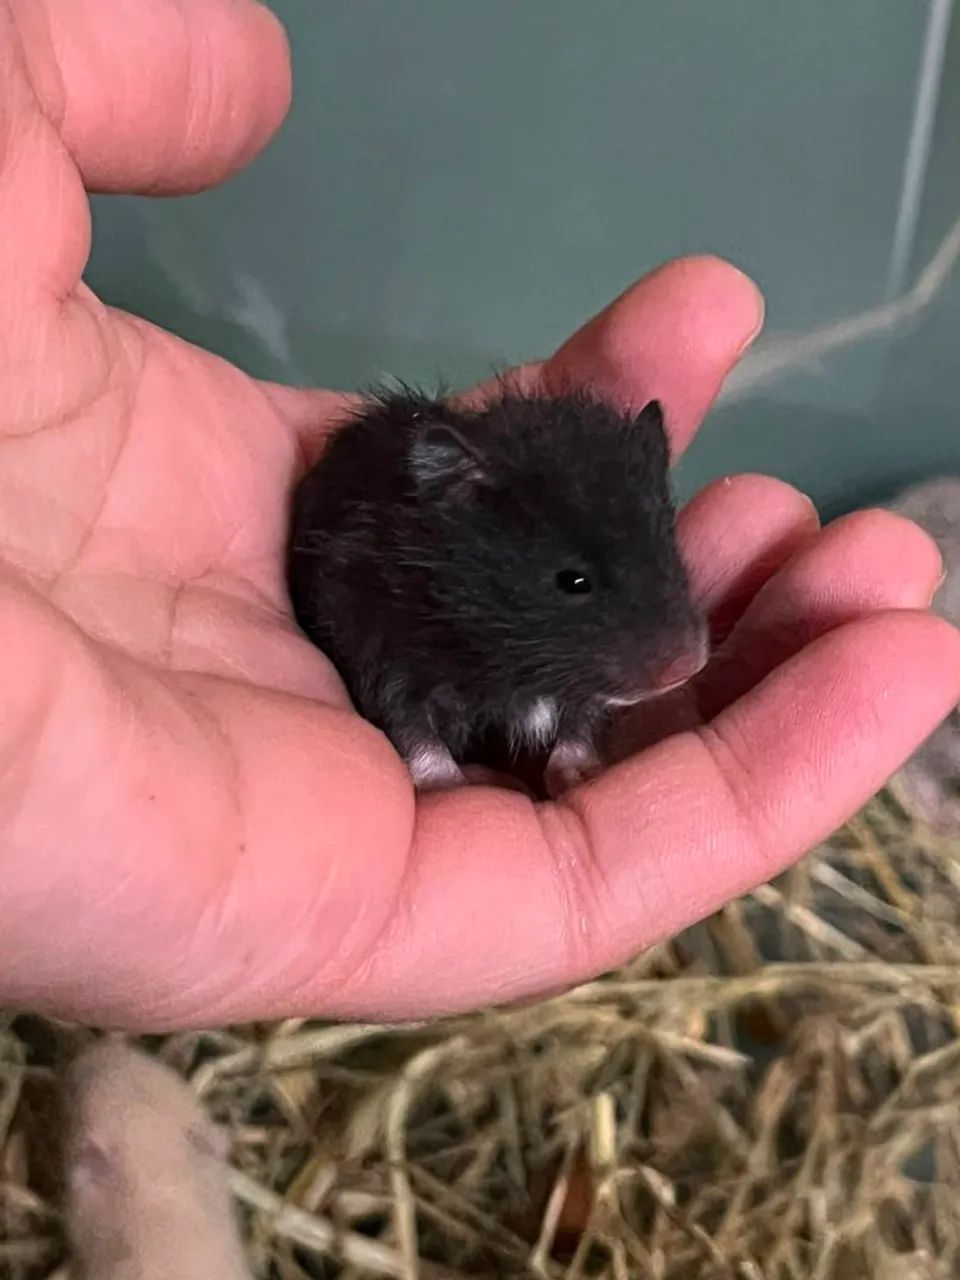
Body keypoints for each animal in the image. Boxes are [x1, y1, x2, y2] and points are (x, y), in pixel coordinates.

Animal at [287, 388, 708, 796]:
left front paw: (578, 775)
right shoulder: (380, 650)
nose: (688, 667)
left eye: (671, 553)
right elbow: (412, 727)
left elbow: (579, 719)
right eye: (573, 581)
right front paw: (449, 785)